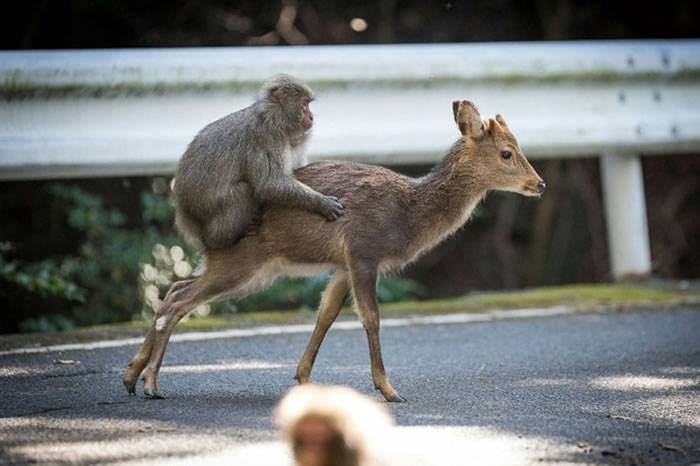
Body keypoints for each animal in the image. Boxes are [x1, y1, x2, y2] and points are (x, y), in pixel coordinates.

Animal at [123, 100, 544, 402]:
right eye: (507, 153)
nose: (539, 184)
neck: (408, 214)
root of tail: (202, 229)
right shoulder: (363, 250)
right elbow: (370, 317)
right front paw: (389, 390)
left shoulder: (342, 265)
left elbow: (325, 314)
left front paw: (304, 379)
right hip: (241, 263)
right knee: (178, 301)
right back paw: (151, 384)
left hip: (244, 269)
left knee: (173, 290)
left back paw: (131, 375)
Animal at [172, 75, 342, 251]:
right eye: (304, 104)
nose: (311, 117)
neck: (274, 118)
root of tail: (185, 215)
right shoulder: (266, 137)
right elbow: (269, 183)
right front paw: (321, 203)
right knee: (243, 191)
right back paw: (221, 240)